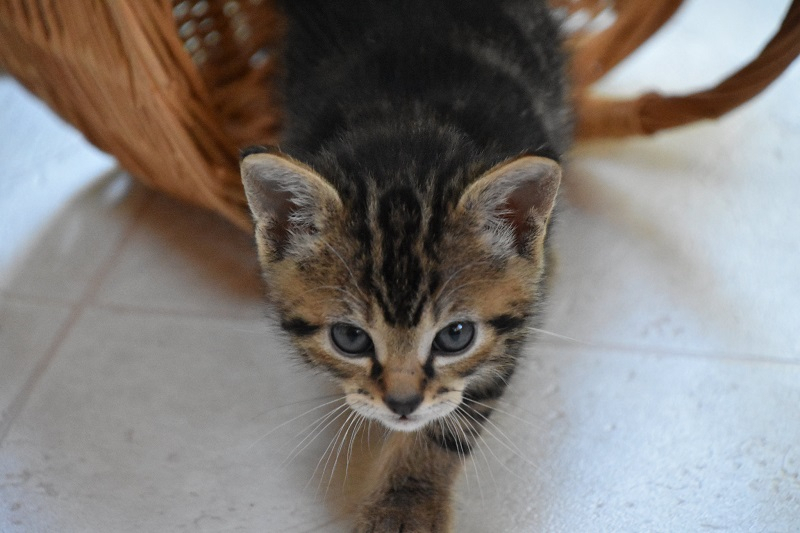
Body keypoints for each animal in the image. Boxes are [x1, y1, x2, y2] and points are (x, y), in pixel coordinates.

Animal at [241, 1, 572, 528]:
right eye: (350, 338)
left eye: (456, 336)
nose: (401, 403)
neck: (409, 133)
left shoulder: (508, 337)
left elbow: (453, 421)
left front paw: (406, 502)